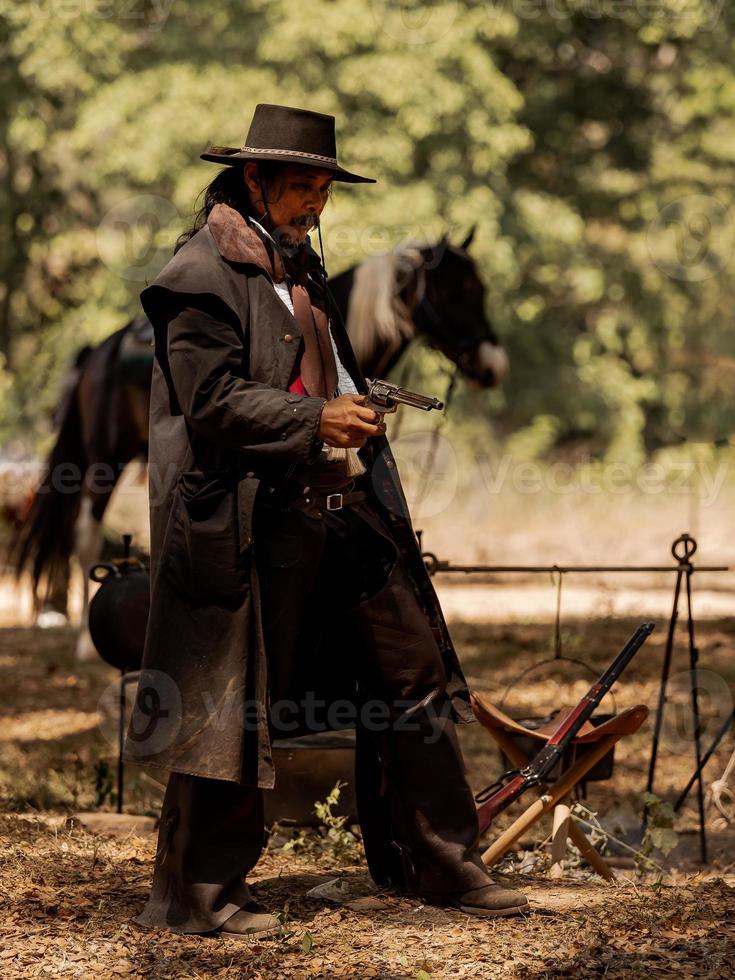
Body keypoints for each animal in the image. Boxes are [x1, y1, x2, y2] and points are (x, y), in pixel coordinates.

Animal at [5, 228, 508, 660]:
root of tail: (98, 352)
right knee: (86, 537)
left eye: (482, 289)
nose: (493, 366)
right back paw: (87, 644)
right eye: (454, 292)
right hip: (104, 460)